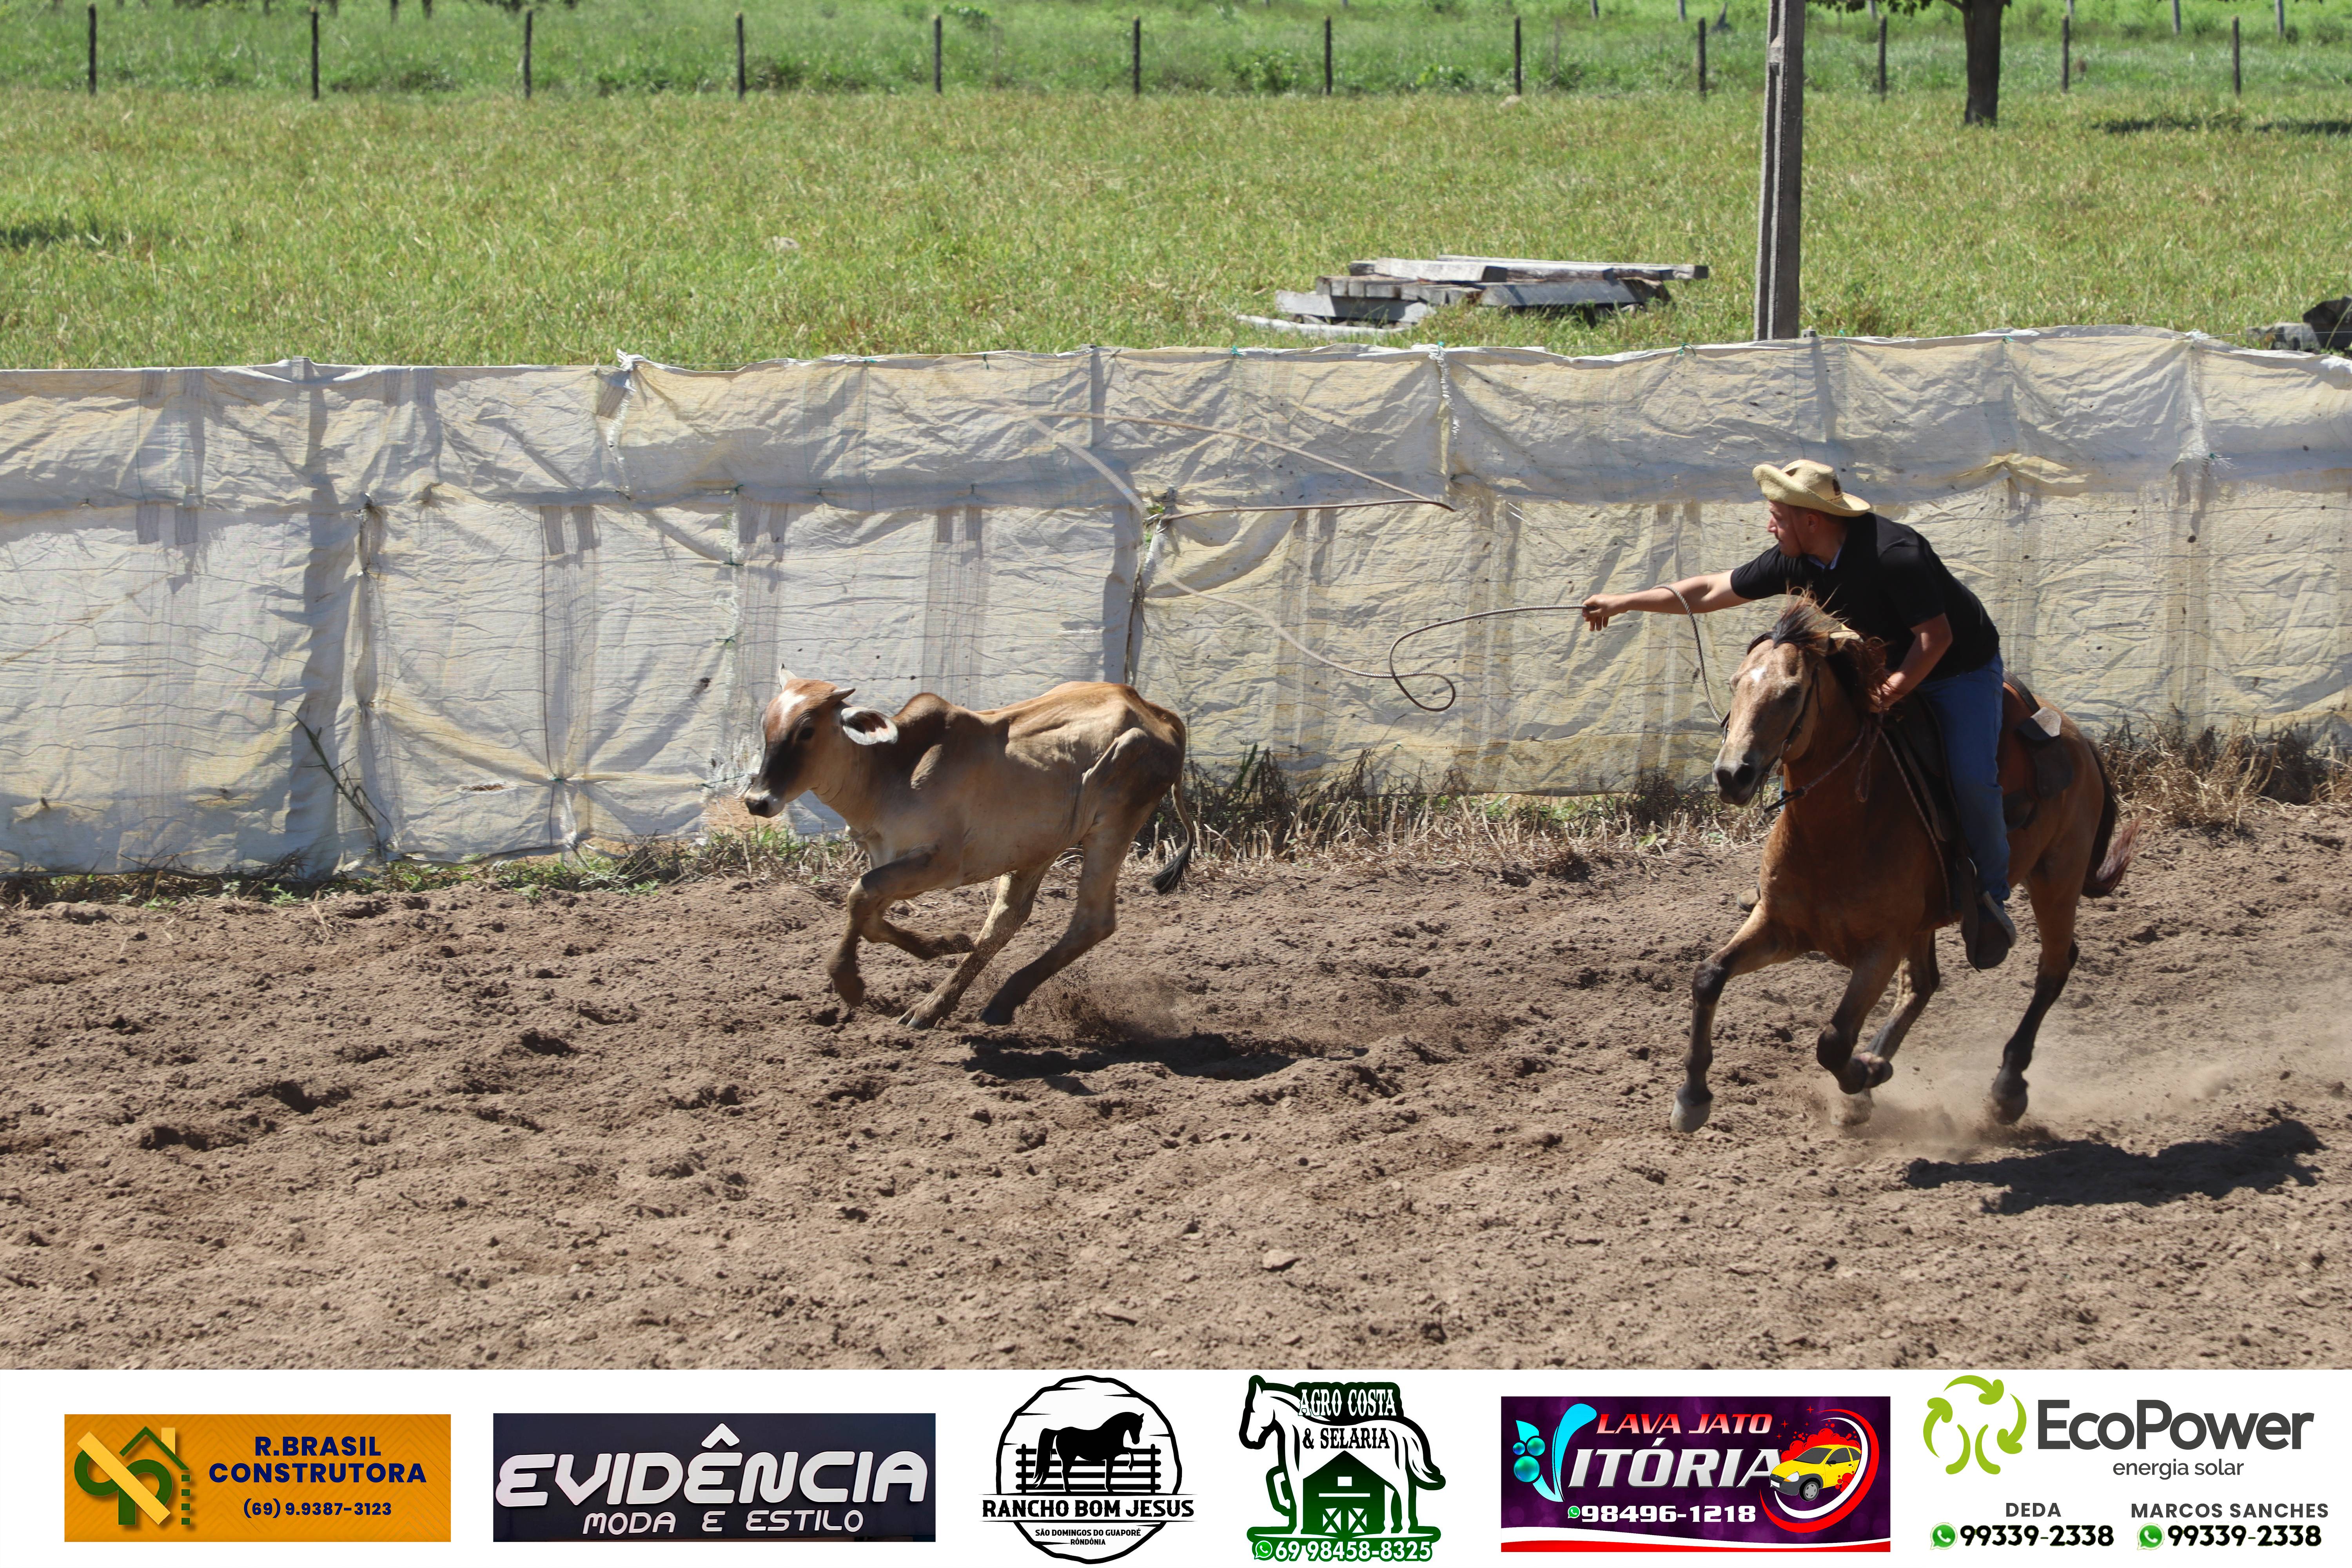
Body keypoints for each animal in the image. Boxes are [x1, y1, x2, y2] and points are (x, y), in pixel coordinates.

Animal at [740, 673, 1198, 1030]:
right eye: (768, 725)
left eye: (807, 730)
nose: (757, 801)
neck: (891, 772)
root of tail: (1154, 711)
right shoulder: (890, 861)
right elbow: (868, 915)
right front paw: (945, 942)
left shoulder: (940, 865)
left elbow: (859, 896)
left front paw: (848, 981)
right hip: (1038, 848)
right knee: (1006, 921)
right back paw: (940, 1007)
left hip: (1113, 827)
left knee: (1092, 921)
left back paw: (992, 1001)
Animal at [1035, 1411, 1145, 1490]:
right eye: (1135, 1425)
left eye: (1141, 1427)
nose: (1136, 1442)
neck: (1111, 1433)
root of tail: (1059, 1432)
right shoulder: (1112, 1456)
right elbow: (1111, 1470)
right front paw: (1130, 1467)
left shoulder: (1117, 1453)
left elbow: (1130, 1451)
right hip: (1069, 1459)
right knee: (1064, 1472)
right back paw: (1069, 1490)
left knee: (1064, 1472)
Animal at [1238, 1377, 1444, 1538]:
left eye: (1253, 1411)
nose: (1249, 1439)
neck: (1300, 1434)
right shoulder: (1294, 1472)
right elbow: (1276, 1478)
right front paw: (1287, 1509)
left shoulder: (1297, 1475)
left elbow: (1294, 1494)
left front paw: (1296, 1527)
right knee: (1396, 1489)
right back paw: (1390, 1530)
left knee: (1404, 1487)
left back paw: (1404, 1530)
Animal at [1681, 597, 2138, 1133]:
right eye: (1736, 683)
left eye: (1792, 693)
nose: (1732, 774)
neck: (1837, 830)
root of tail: (2078, 738)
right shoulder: (1781, 926)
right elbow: (1709, 975)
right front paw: (1692, 1097)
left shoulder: (1881, 946)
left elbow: (1833, 1041)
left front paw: (1860, 1073)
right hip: (1934, 916)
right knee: (1924, 984)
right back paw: (1878, 1070)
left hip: (2056, 875)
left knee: (2054, 966)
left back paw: (2007, 1087)